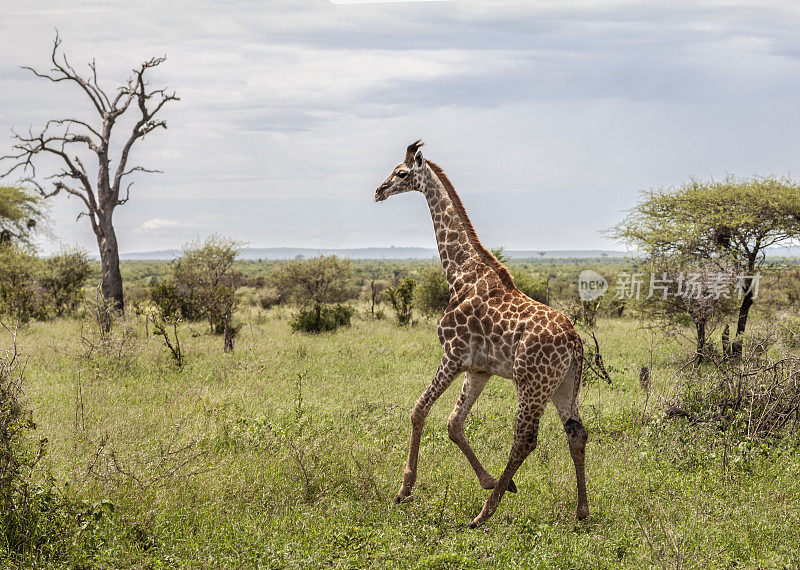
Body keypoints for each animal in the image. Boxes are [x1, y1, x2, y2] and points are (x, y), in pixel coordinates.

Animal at [374, 141, 588, 524]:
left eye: (401, 172)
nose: (379, 191)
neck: (459, 272)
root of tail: (576, 344)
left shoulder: (453, 355)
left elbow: (419, 410)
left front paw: (404, 489)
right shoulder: (479, 369)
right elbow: (454, 423)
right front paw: (489, 481)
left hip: (531, 384)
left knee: (525, 440)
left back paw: (484, 514)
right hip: (563, 385)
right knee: (576, 433)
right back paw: (581, 511)